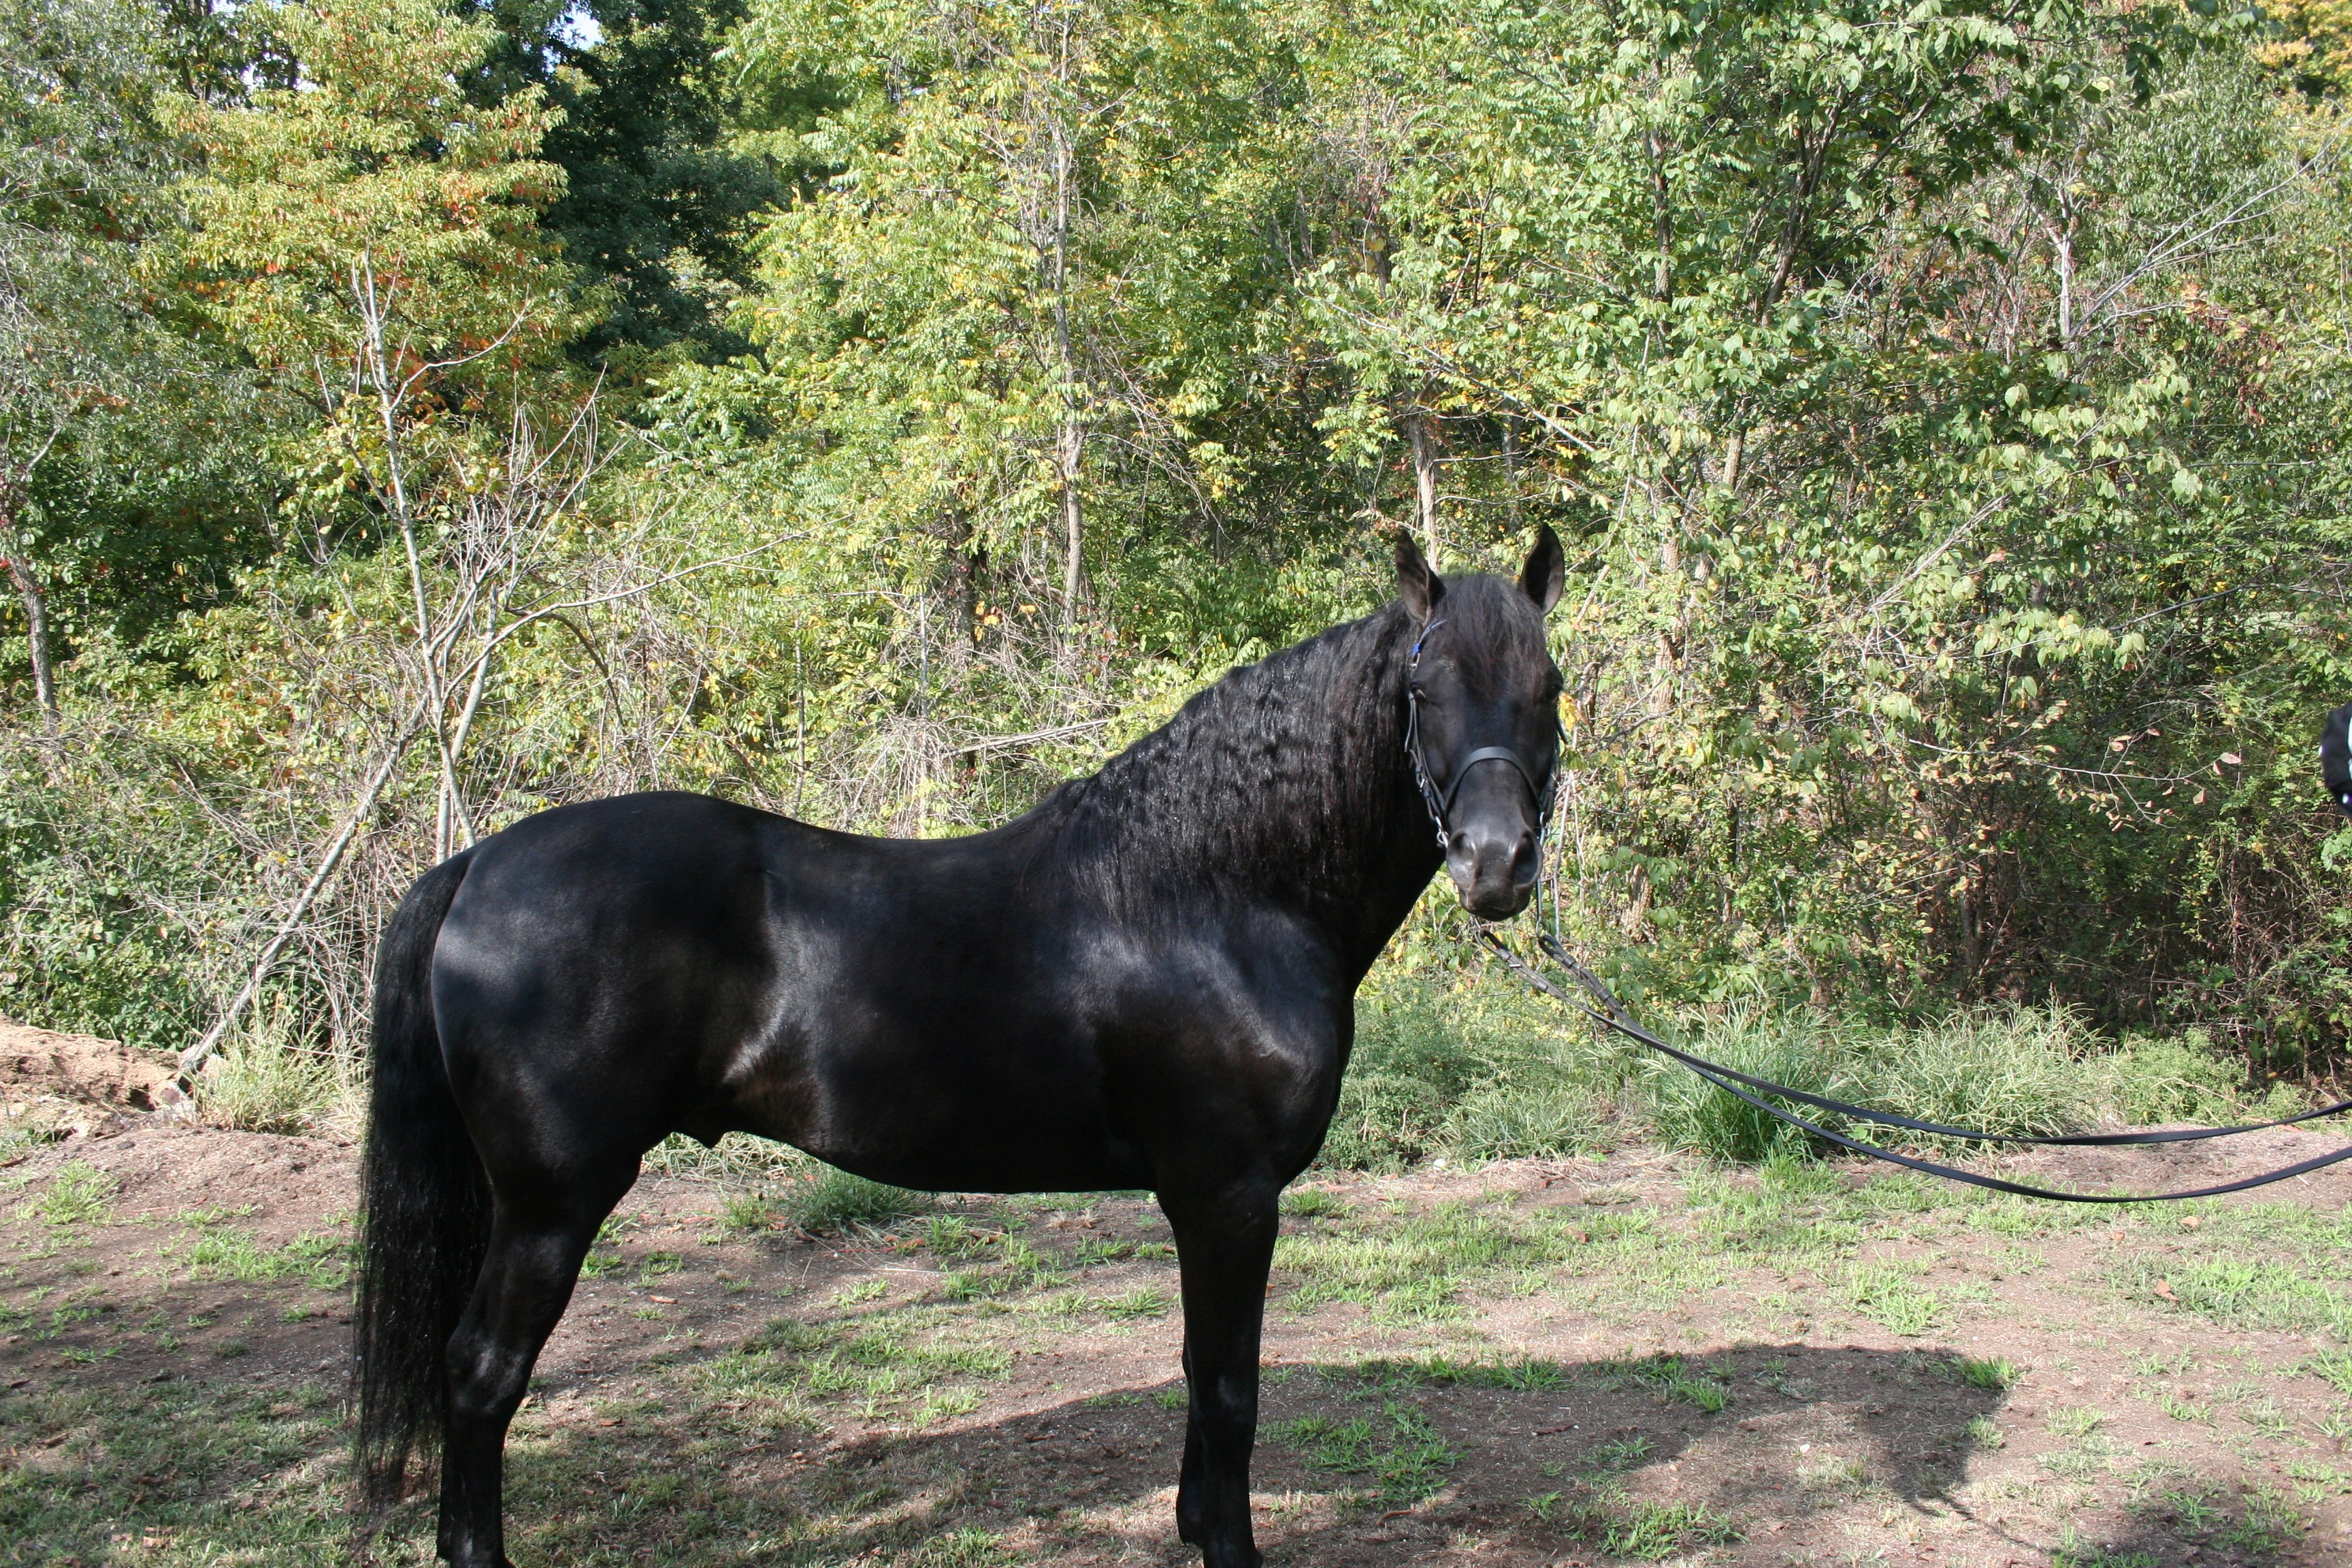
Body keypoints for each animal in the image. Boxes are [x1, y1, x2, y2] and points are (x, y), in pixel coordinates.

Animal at [354, 526, 1568, 1568]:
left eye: (1550, 686)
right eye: (1422, 692)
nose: (1497, 865)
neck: (1215, 895)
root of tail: (477, 866)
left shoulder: (1209, 1201)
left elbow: (1198, 1369)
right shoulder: (1230, 1193)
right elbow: (1230, 1385)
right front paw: (1229, 1546)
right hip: (552, 1203)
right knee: (483, 1373)